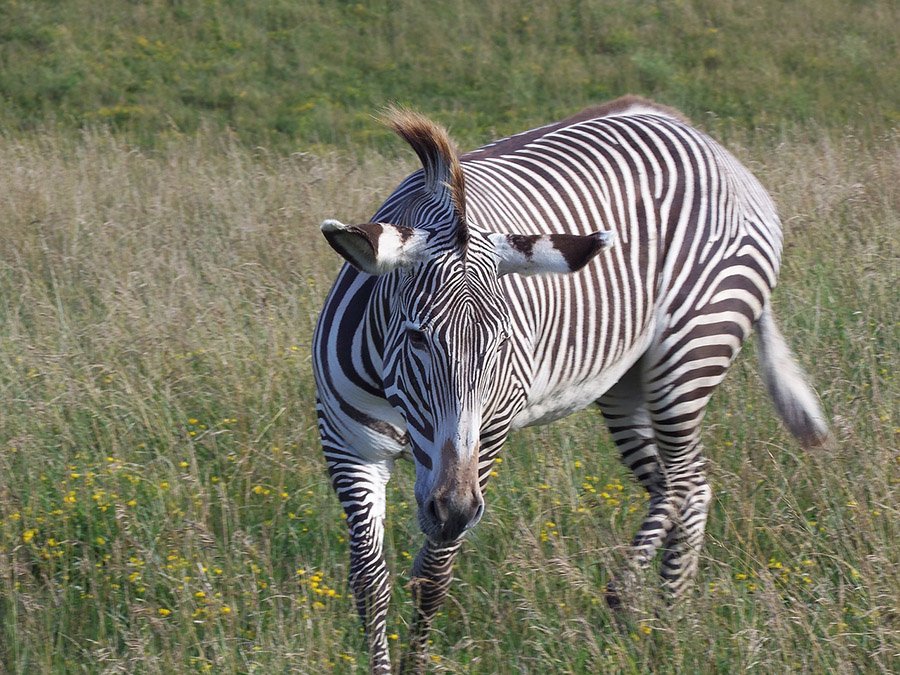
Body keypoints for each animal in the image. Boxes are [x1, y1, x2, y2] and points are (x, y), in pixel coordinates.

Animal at [313, 96, 829, 673]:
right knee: (683, 484)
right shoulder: (349, 448)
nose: (453, 511)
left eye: (503, 343)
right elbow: (369, 582)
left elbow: (432, 576)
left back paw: (642, 605)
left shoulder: (488, 436)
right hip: (626, 384)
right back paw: (661, 619)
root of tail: (707, 142)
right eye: (417, 337)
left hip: (691, 351)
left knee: (685, 480)